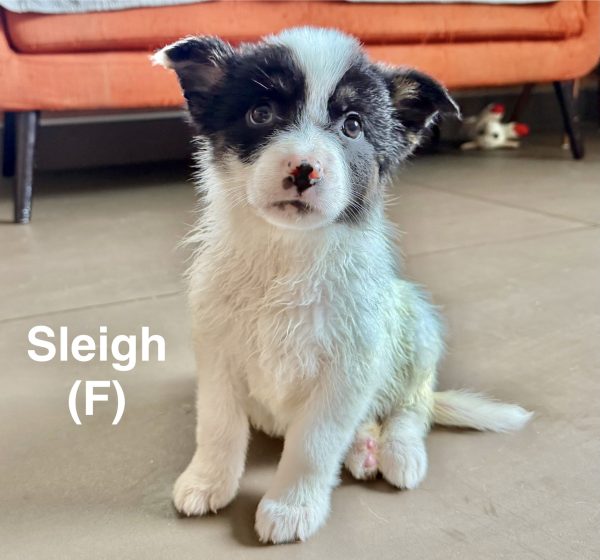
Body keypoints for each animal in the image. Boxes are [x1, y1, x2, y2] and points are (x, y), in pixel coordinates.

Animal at [153, 27, 532, 544]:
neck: (288, 257)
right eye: (260, 113)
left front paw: (292, 507)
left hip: (416, 322)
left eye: (353, 126)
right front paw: (208, 481)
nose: (303, 169)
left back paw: (399, 452)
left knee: (413, 404)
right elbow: (218, 426)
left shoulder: (348, 371)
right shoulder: (218, 355)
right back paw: (363, 447)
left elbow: (312, 446)